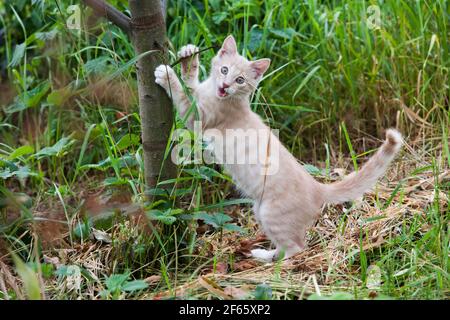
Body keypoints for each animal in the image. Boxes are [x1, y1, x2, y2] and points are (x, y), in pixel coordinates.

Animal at [154, 35, 400, 262]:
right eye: (224, 70)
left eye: (240, 80)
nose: (224, 86)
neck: (221, 97)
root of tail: (317, 187)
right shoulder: (202, 95)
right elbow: (191, 84)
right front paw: (188, 56)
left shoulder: (200, 117)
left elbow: (183, 98)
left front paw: (167, 76)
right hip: (259, 211)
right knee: (285, 245)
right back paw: (264, 254)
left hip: (271, 213)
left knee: (296, 248)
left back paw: (271, 262)